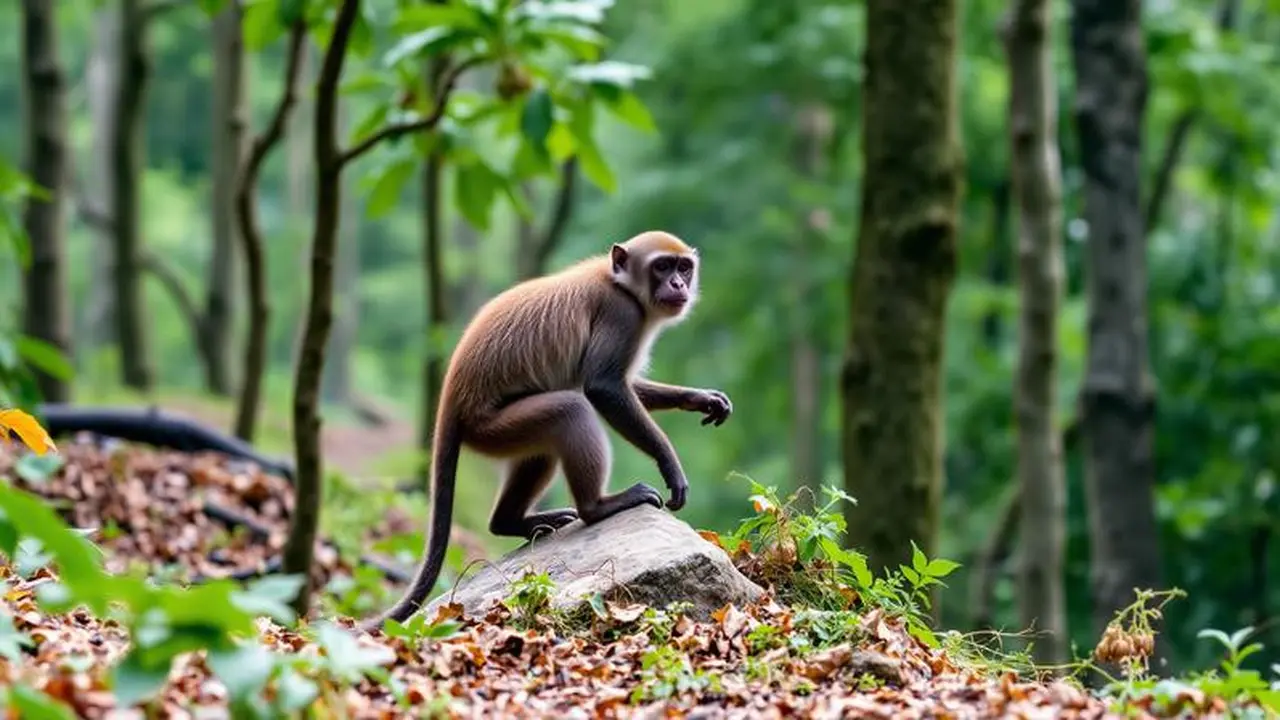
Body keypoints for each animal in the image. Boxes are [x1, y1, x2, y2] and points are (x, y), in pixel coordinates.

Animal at [360, 230, 732, 631]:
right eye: (662, 267)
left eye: (684, 267)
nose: (678, 284)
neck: (620, 283)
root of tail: (452, 395)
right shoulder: (621, 314)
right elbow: (603, 387)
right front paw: (670, 466)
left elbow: (620, 385)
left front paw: (701, 399)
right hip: (488, 427)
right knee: (572, 410)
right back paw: (597, 507)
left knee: (543, 446)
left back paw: (512, 521)